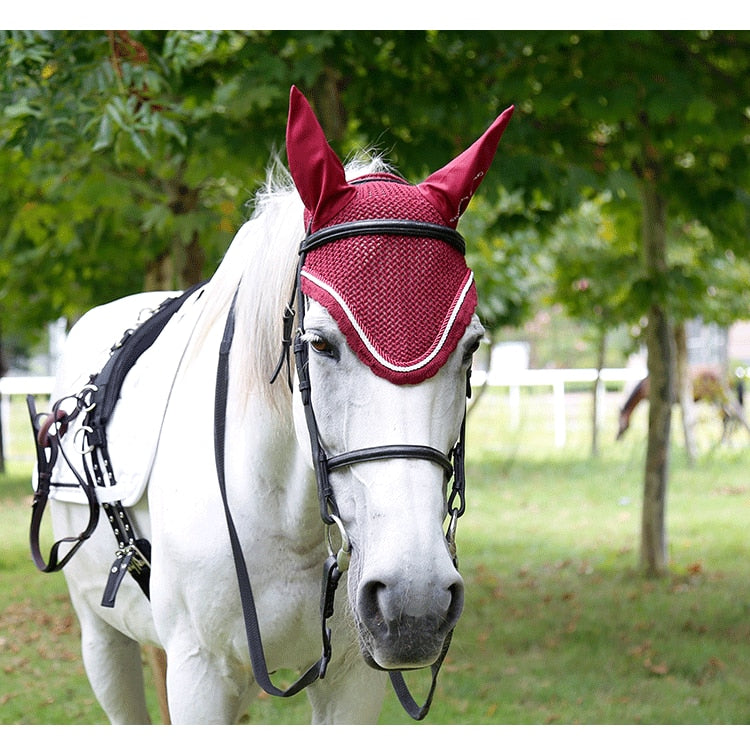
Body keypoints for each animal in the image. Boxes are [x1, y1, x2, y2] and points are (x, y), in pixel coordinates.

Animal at [27, 87, 514, 724]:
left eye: (471, 346)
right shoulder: (200, 673)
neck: (287, 518)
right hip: (101, 637)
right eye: (320, 343)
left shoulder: (353, 680)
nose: (415, 600)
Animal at [616, 369, 750, 443]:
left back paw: (724, 441)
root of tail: (731, 376)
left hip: (717, 396)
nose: (617, 438)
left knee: (731, 415)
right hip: (716, 398)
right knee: (731, 415)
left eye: (620, 422)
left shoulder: (657, 402)